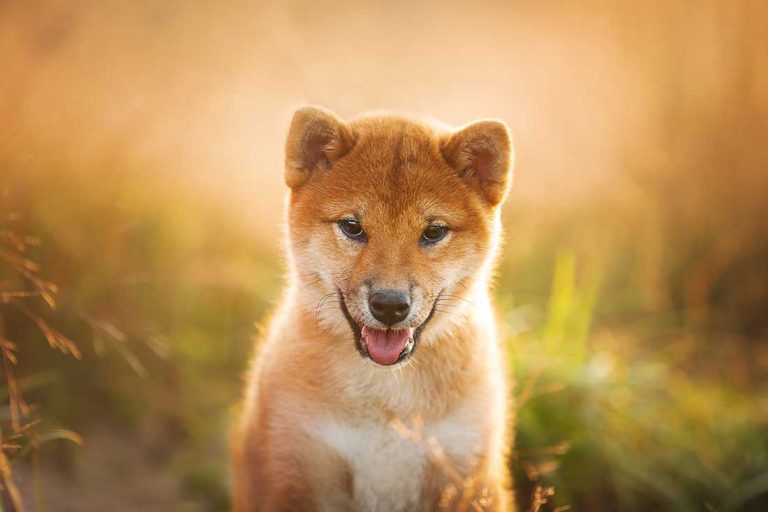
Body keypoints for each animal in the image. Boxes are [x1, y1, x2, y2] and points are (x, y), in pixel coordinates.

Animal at [231, 106, 512, 510]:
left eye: (433, 232)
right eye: (352, 226)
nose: (390, 305)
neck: (387, 399)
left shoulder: (467, 476)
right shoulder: (295, 469)